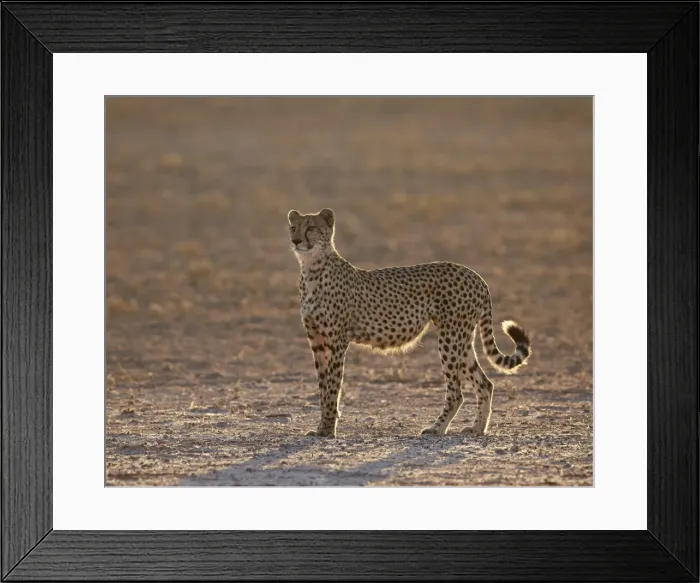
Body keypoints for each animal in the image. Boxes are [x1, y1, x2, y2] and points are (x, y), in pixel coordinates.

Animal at [288, 207, 531, 438]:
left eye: (311, 227)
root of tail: (476, 275)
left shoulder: (337, 340)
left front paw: (329, 430)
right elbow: (323, 386)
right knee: (485, 383)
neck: (312, 269)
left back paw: (437, 428)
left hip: (451, 337)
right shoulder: (317, 340)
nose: (296, 241)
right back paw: (477, 428)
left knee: (456, 392)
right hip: (462, 339)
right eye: (293, 227)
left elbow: (332, 387)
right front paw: (320, 428)